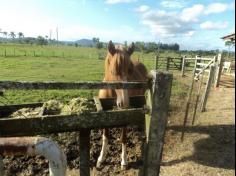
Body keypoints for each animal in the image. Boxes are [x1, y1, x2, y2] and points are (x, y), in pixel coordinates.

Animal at [96, 40, 148, 170]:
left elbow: (123, 138)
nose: (124, 102)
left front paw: (124, 161)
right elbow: (105, 137)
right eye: (113, 71)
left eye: (130, 71)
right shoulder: (105, 110)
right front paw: (101, 159)